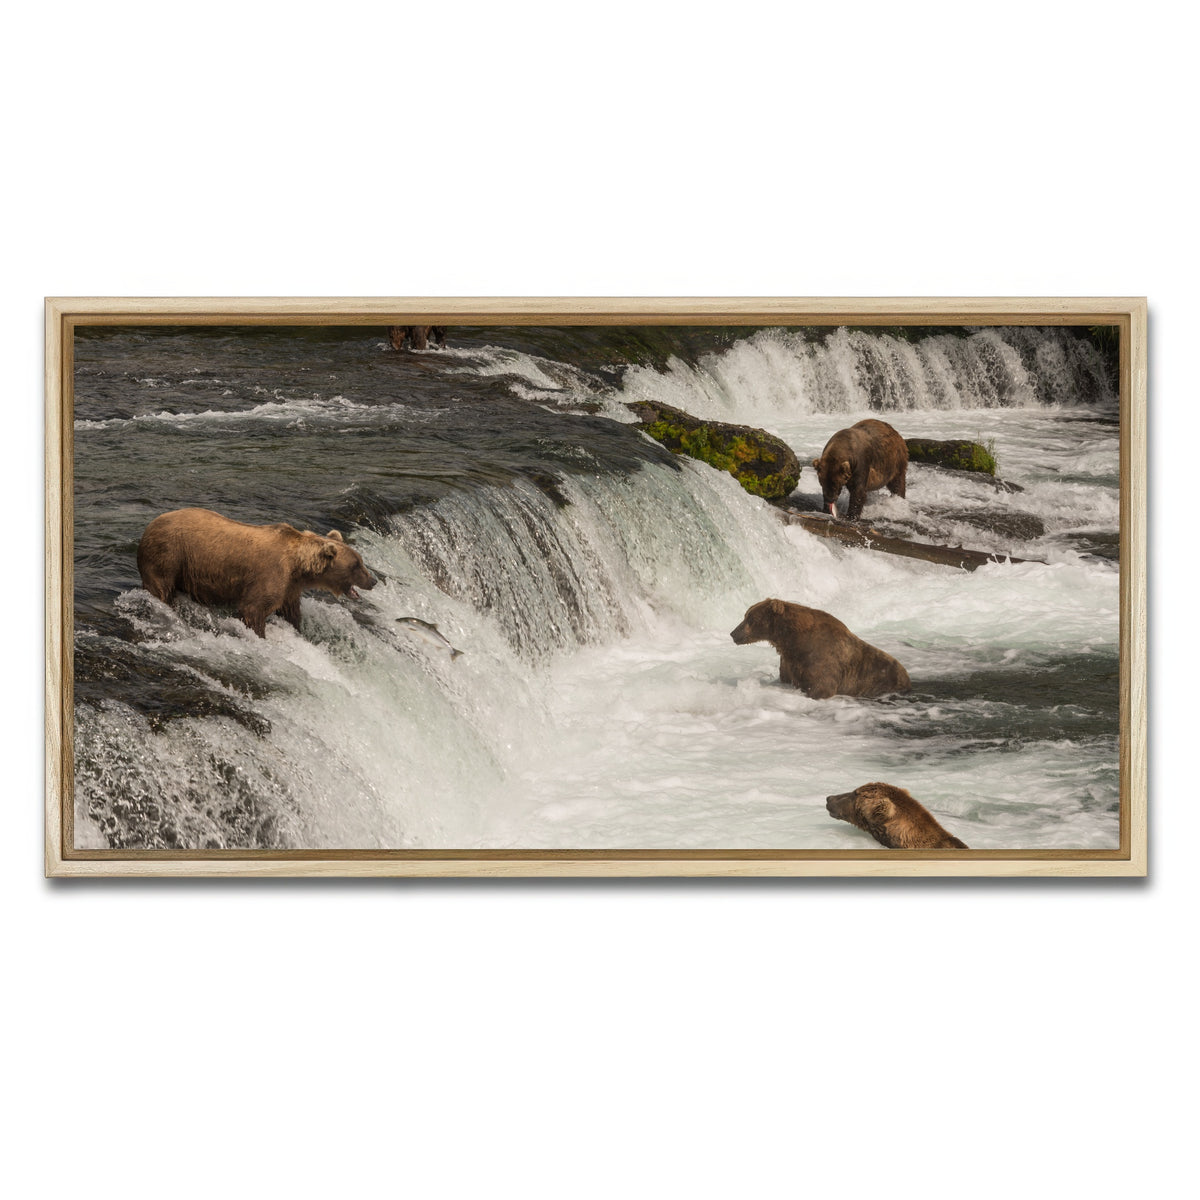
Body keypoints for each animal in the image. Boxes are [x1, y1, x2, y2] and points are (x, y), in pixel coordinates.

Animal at [136, 507, 377, 638]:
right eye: (357, 565)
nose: (373, 580)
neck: (298, 567)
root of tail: (149, 526)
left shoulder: (290, 587)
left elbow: (291, 612)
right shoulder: (270, 575)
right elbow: (254, 609)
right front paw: (261, 635)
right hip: (169, 555)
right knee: (161, 588)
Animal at [729, 598, 910, 699]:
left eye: (750, 618)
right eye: (746, 615)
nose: (733, 633)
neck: (792, 640)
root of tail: (907, 676)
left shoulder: (821, 658)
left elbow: (821, 686)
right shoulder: (789, 661)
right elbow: (785, 677)